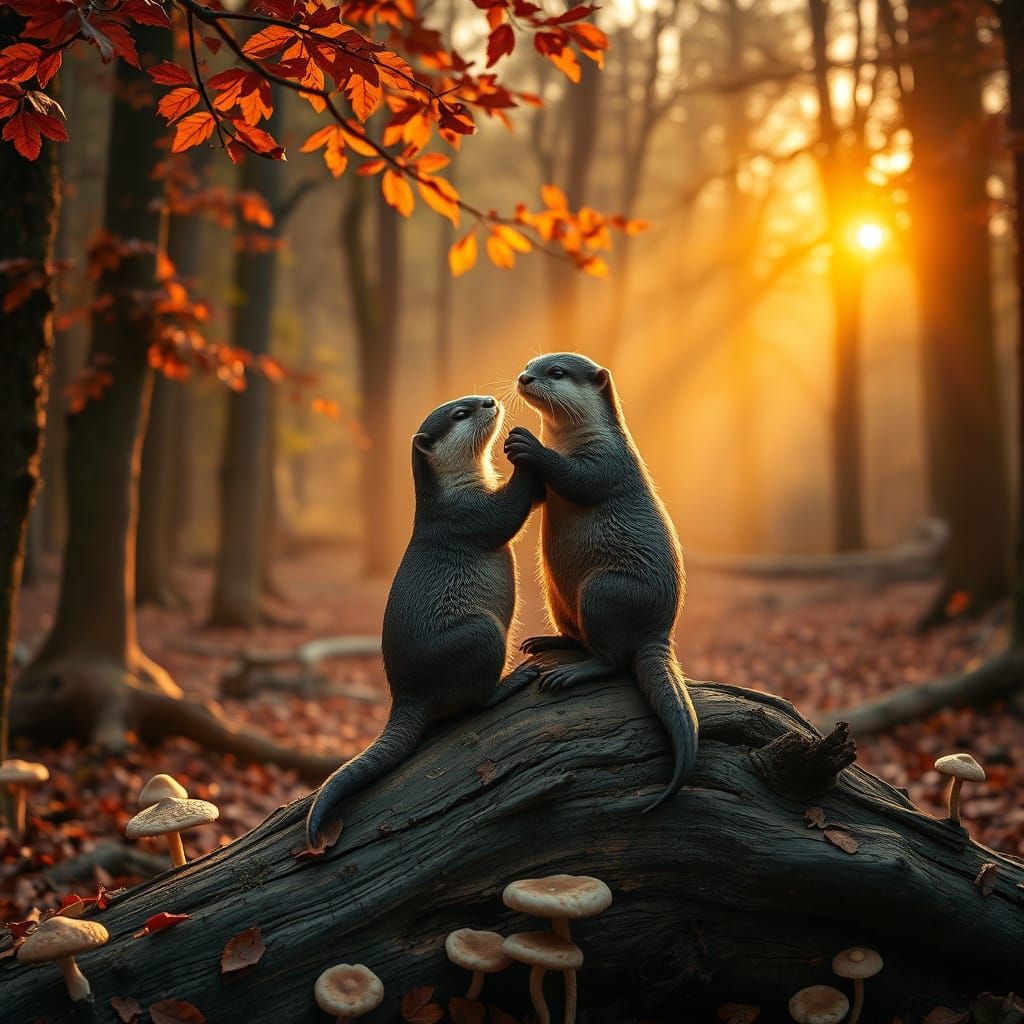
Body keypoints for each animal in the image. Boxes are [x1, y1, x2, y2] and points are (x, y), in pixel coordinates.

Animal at [305, 395, 540, 848]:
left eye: (471, 401)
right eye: (461, 414)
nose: (489, 400)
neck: (455, 494)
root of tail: (408, 691)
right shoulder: (469, 517)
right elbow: (509, 513)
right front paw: (526, 449)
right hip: (481, 633)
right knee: (476, 700)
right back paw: (514, 679)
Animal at [505, 353, 698, 810]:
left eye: (556, 372)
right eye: (531, 364)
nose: (524, 378)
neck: (573, 439)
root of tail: (659, 630)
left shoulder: (607, 461)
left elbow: (579, 479)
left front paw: (527, 445)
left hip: (603, 591)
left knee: (611, 659)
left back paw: (572, 674)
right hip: (555, 594)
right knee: (577, 636)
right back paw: (546, 643)